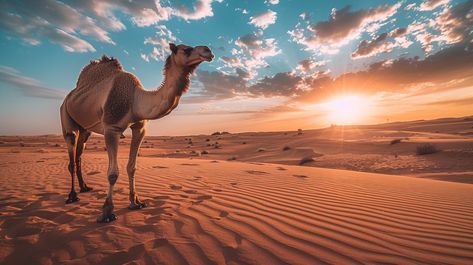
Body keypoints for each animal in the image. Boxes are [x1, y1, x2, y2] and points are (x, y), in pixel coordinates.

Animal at [60, 44, 214, 222]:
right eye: (186, 49)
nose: (208, 51)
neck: (135, 99)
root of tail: (68, 97)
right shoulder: (111, 128)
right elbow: (112, 173)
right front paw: (107, 212)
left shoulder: (139, 128)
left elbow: (132, 167)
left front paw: (135, 202)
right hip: (66, 116)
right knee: (71, 151)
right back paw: (72, 196)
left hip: (85, 130)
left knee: (79, 154)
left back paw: (84, 187)